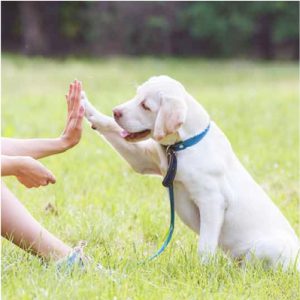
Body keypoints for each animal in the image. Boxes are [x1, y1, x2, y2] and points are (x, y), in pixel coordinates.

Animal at [82, 76, 300, 270]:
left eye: (145, 106)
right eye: (136, 96)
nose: (116, 111)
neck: (183, 145)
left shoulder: (212, 201)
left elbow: (205, 245)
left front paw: (204, 270)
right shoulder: (142, 160)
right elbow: (108, 125)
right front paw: (84, 104)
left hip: (268, 248)